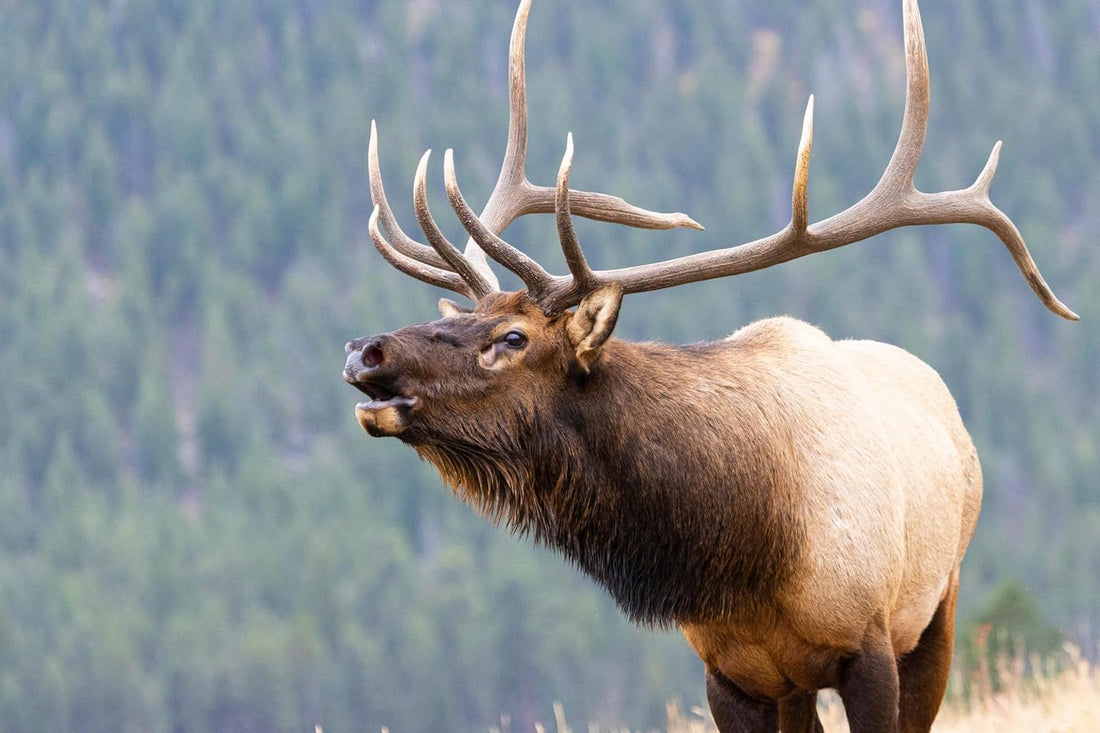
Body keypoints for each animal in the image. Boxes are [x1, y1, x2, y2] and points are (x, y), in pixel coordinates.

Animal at [342, 0, 1077, 729]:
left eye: (513, 337)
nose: (364, 350)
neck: (751, 553)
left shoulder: (868, 643)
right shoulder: (729, 672)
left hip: (936, 610)